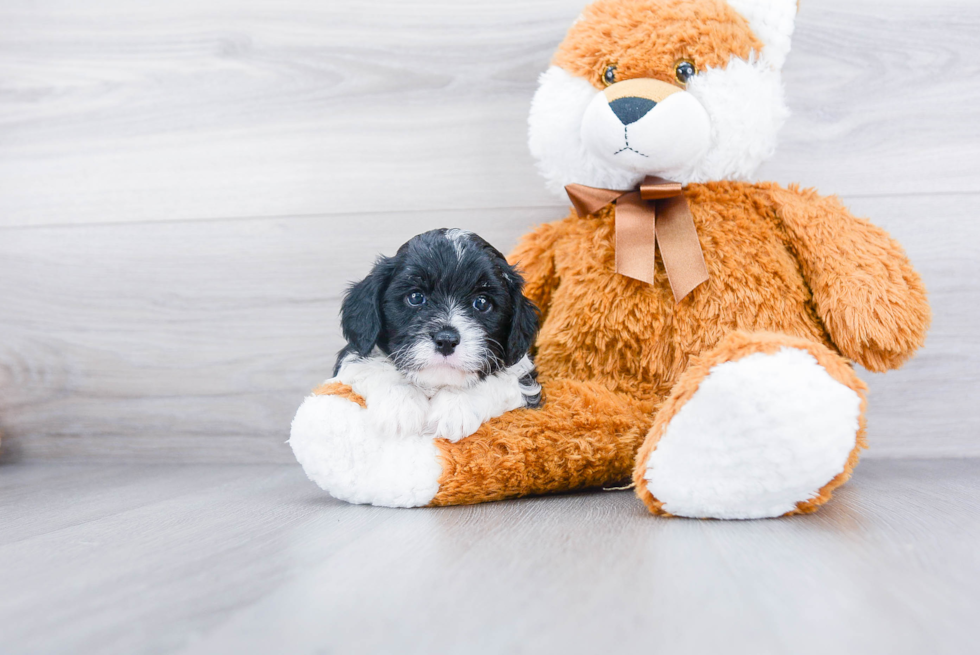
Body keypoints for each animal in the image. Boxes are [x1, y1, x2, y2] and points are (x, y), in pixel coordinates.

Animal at [330, 229, 544, 440]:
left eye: (482, 303)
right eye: (416, 297)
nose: (447, 340)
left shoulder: (522, 375)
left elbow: (499, 378)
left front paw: (456, 406)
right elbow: (372, 365)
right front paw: (401, 404)